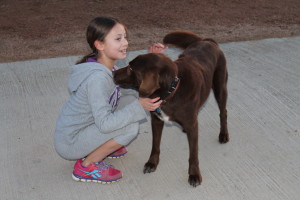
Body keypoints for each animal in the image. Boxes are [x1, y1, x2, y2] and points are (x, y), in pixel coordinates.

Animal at [113, 30, 229, 187]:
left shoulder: (192, 127)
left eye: (131, 68)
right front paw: (152, 163)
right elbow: (155, 145)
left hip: (220, 87)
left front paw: (194, 174)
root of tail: (207, 40)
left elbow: (193, 154)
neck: (171, 91)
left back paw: (223, 134)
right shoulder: (156, 120)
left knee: (223, 112)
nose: (113, 74)